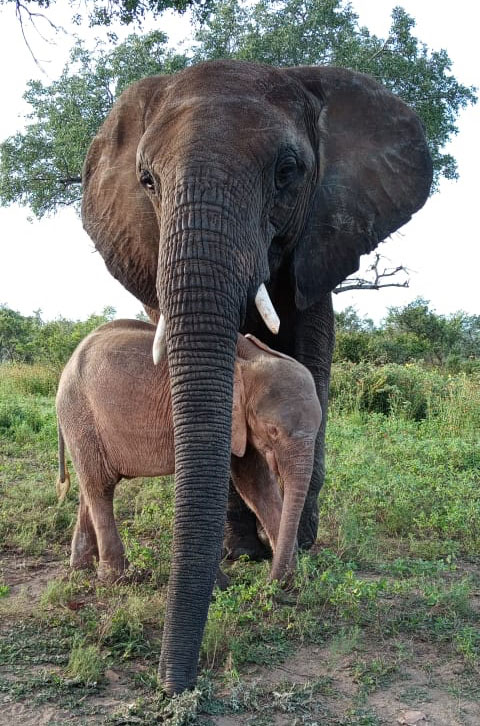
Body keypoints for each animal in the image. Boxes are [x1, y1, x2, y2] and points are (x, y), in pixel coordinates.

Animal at [56, 321, 322, 585]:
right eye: (273, 430)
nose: (270, 580)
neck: (252, 357)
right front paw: (222, 586)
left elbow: (255, 482)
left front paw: (290, 578)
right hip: (80, 416)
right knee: (101, 486)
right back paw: (117, 577)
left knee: (89, 486)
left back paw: (82, 566)